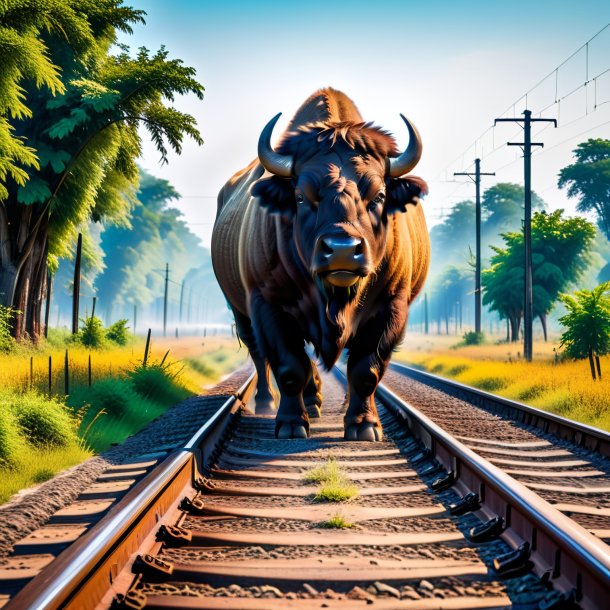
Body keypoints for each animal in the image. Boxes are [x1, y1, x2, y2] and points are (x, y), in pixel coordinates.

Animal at [211, 88, 430, 440]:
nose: (342, 250)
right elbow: (289, 366)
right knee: (260, 356)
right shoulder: (267, 305)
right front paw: (291, 423)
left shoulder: (391, 308)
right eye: (301, 196)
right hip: (241, 312)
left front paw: (364, 424)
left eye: (379, 196)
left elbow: (366, 370)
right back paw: (269, 403)